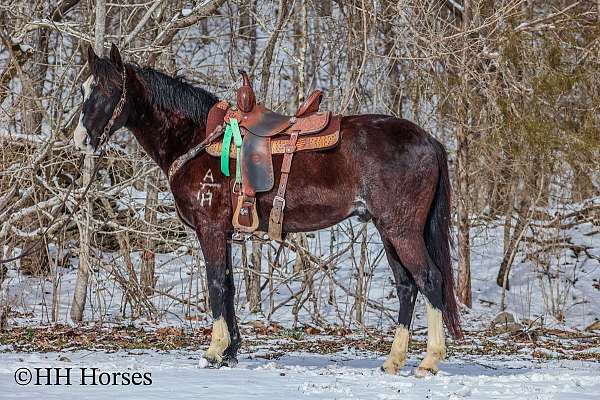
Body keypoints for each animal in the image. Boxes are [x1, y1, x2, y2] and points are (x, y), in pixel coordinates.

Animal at [74, 44, 460, 376]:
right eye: (84, 88)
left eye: (107, 90)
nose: (80, 139)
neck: (196, 140)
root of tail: (429, 141)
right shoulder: (225, 233)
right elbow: (228, 285)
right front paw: (230, 351)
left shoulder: (210, 229)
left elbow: (215, 284)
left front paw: (213, 351)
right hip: (387, 229)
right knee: (407, 286)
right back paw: (393, 361)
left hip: (401, 230)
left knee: (429, 279)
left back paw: (430, 360)